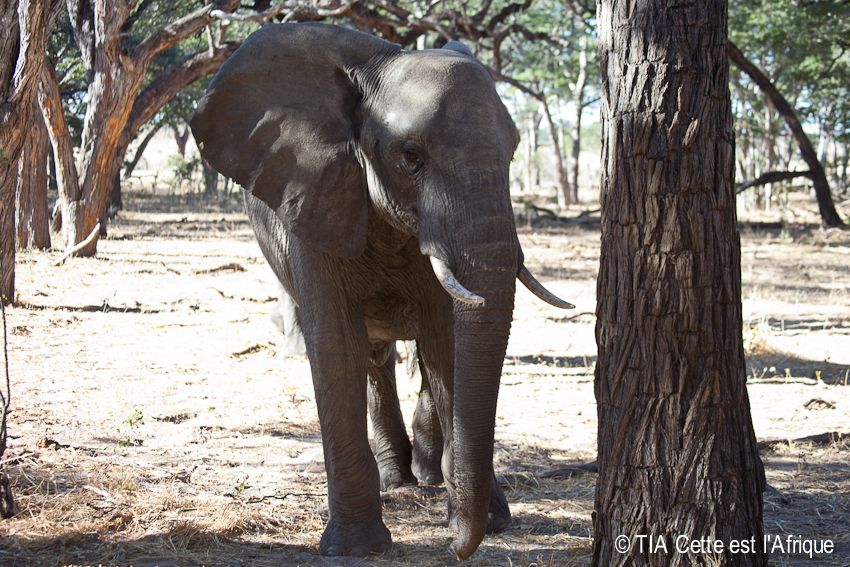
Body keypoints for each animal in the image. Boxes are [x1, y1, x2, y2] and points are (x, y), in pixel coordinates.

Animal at [190, 22, 568, 560]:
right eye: (411, 157)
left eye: (513, 151)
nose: (454, 547)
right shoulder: (314, 195)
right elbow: (336, 346)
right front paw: (355, 548)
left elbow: (446, 341)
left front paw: (487, 519)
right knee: (372, 357)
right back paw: (399, 481)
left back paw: (426, 476)